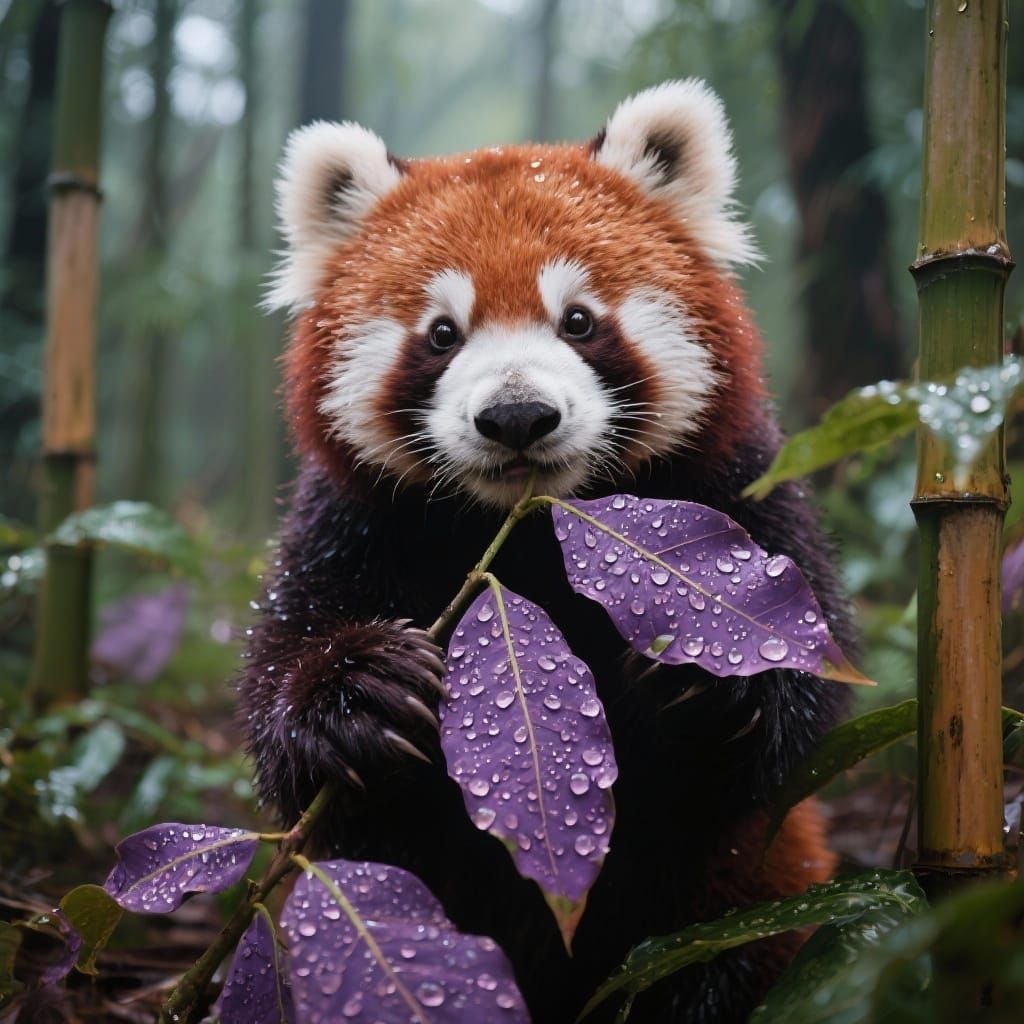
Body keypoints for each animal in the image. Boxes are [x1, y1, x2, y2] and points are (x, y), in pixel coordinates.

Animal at [240, 80, 851, 1023]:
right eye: (442, 334)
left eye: (579, 321)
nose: (517, 416)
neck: (525, 534)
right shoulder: (347, 527)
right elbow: (291, 715)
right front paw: (357, 690)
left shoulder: (741, 497)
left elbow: (792, 714)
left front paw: (710, 673)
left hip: (742, 900)